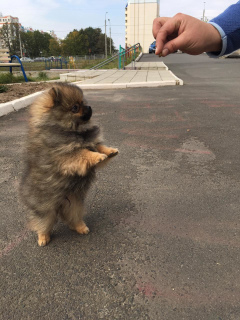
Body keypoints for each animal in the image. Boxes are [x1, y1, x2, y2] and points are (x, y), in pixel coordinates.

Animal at [19, 82, 118, 245]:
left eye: (83, 102)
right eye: (75, 107)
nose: (89, 106)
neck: (72, 129)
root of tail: (59, 205)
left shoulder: (90, 143)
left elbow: (98, 146)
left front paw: (110, 151)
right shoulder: (65, 156)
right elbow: (83, 153)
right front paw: (97, 156)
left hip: (74, 206)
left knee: (73, 219)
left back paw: (81, 227)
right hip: (45, 210)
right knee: (42, 223)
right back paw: (43, 238)